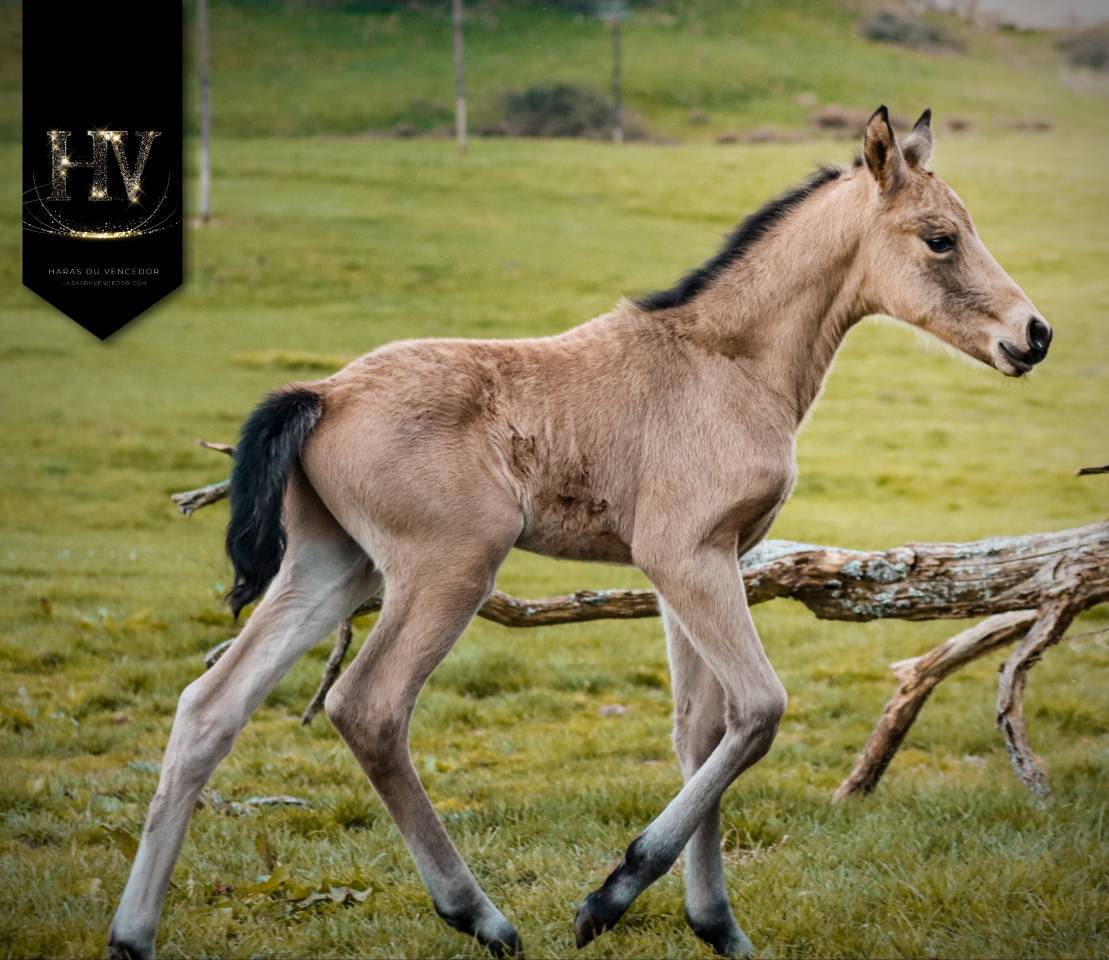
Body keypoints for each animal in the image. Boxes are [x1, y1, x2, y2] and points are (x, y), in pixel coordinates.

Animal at [109, 107, 1051, 959]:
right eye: (938, 239)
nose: (1033, 335)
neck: (726, 361)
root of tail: (323, 394)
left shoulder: (705, 564)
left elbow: (700, 731)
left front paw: (717, 926)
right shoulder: (685, 557)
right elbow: (758, 711)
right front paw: (611, 895)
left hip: (334, 568)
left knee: (209, 708)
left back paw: (132, 935)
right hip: (447, 568)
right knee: (368, 708)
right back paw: (481, 917)